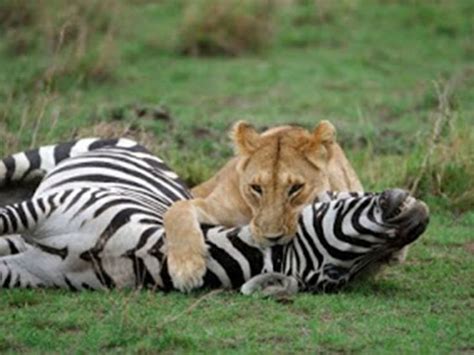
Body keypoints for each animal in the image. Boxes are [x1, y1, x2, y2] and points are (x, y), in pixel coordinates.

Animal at [0, 140, 430, 294]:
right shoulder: (49, 207)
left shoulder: (28, 272)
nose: (420, 220)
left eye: (337, 277)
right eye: (334, 200)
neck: (143, 255)